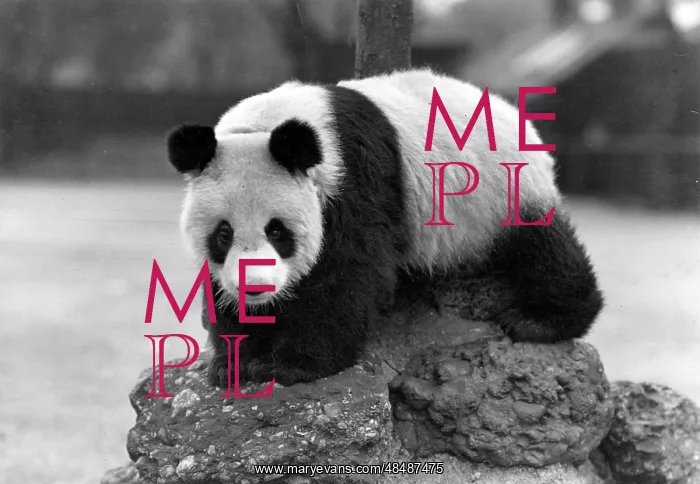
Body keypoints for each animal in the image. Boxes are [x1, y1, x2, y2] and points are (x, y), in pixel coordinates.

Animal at [166, 68, 604, 388]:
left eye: (278, 232)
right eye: (223, 234)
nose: (255, 286)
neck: (265, 127)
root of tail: (518, 117)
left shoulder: (355, 178)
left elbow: (347, 272)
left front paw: (292, 364)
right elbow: (220, 288)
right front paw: (235, 361)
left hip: (501, 192)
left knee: (541, 246)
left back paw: (542, 320)